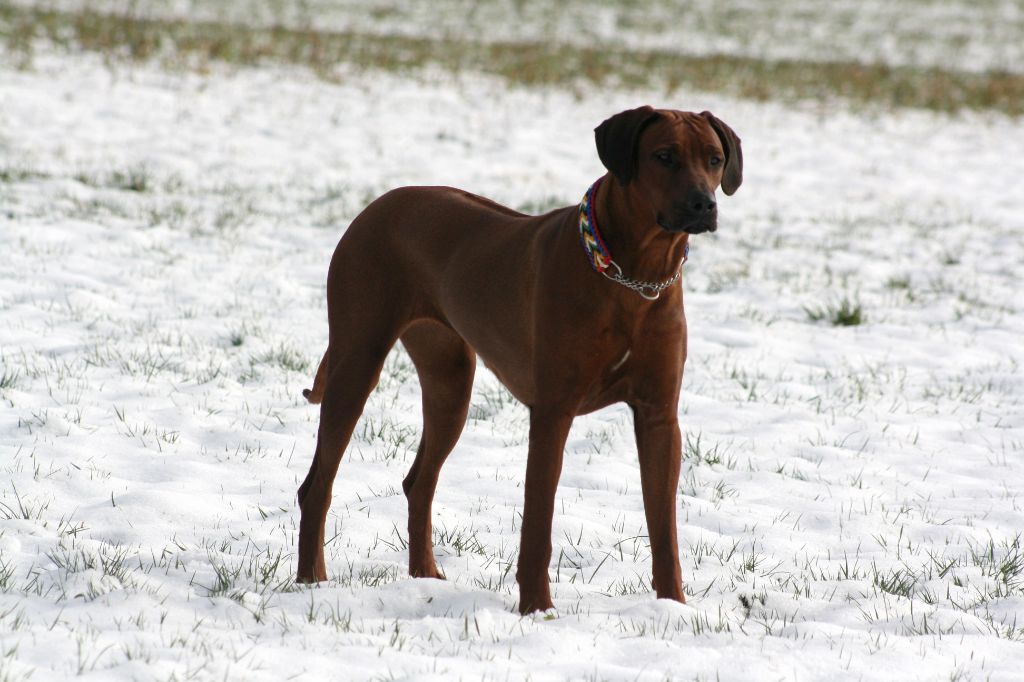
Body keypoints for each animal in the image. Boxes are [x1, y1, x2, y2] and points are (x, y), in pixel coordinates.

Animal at [296, 106, 745, 610]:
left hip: (450, 381)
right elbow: (538, 523)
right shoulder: (553, 412)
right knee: (317, 486)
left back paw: (425, 577)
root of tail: (376, 205)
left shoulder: (659, 417)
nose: (704, 204)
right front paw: (537, 609)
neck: (633, 276)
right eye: (664, 156)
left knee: (419, 482)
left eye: (713, 158)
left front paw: (673, 609)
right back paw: (311, 580)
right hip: (357, 360)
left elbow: (664, 528)